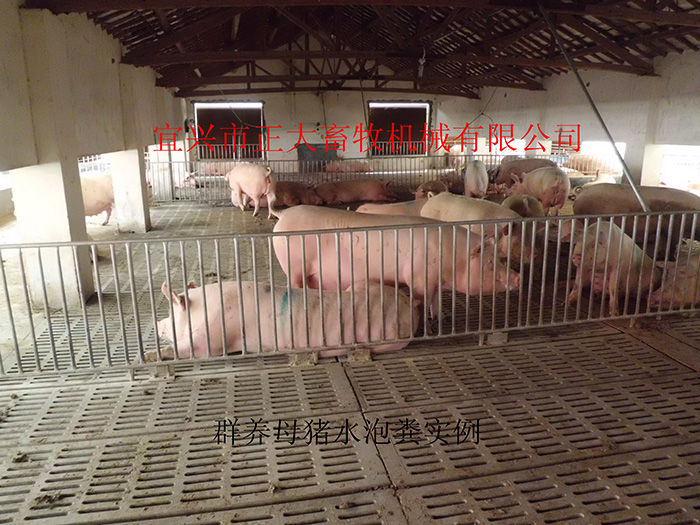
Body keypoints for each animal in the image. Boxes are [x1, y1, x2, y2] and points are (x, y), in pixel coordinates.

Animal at [156, 281, 419, 359]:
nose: (157, 324)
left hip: (389, 339)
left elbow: (193, 348)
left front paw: (148, 356)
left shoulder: (211, 337)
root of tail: (410, 304)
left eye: (171, 313)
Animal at [272, 206, 520, 314]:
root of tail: (283, 214)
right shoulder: (418, 277)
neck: (453, 256)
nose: (518, 278)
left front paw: (438, 318)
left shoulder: (435, 281)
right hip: (293, 264)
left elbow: (435, 302)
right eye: (490, 262)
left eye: (500, 259)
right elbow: (421, 298)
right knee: (294, 283)